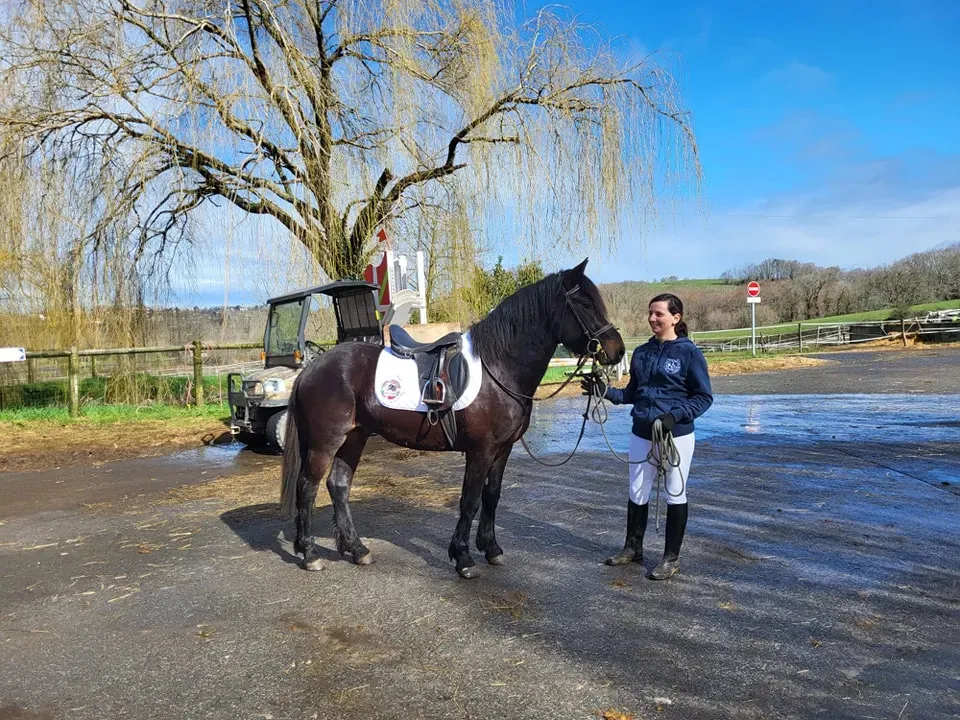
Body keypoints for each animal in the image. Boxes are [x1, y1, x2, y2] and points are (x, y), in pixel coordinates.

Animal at [279, 258, 625, 578]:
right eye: (584, 303)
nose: (617, 350)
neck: (498, 368)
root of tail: (313, 366)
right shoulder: (480, 451)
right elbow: (469, 500)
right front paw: (463, 558)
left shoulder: (502, 450)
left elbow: (492, 497)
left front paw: (492, 549)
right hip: (325, 442)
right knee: (307, 488)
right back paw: (310, 554)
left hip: (355, 437)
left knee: (338, 485)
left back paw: (357, 549)